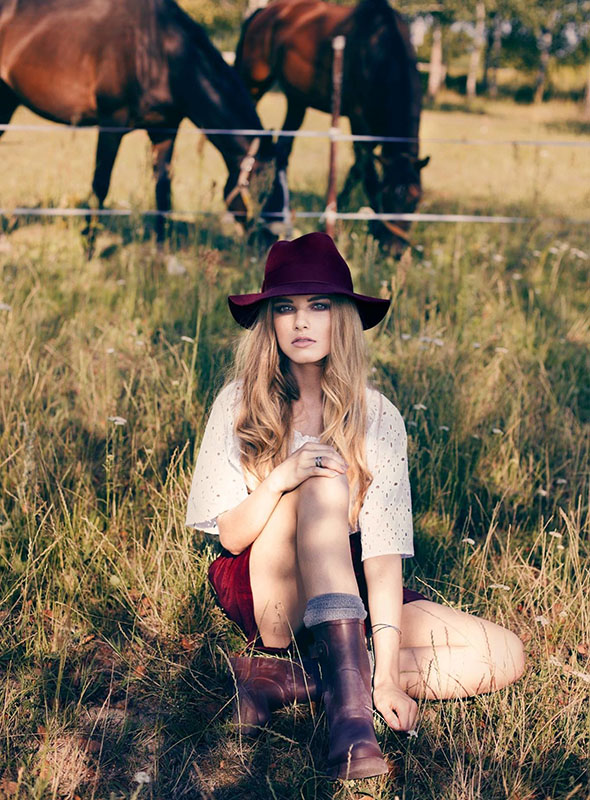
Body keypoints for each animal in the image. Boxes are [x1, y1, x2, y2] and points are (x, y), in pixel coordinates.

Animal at [0, 0, 274, 251]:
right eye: (263, 187)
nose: (271, 241)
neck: (157, 52)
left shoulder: (165, 131)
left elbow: (162, 188)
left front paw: (161, 247)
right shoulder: (111, 124)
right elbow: (100, 185)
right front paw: (88, 247)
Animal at [235, 0, 429, 250]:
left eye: (417, 200)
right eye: (387, 195)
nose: (393, 249)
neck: (378, 47)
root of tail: (264, 12)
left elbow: (357, 169)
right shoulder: (359, 120)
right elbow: (367, 171)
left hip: (297, 100)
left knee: (284, 148)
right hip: (254, 84)